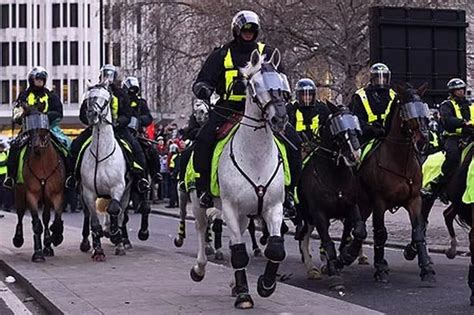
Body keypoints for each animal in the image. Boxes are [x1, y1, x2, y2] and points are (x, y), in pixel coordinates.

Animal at [12, 112, 66, 262]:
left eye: (43, 129)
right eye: (30, 129)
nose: (36, 145)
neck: (42, 164)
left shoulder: (57, 194)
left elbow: (56, 219)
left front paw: (56, 236)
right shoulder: (31, 194)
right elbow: (36, 224)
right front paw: (38, 253)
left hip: (46, 198)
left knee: (46, 217)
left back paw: (48, 245)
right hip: (19, 194)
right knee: (20, 214)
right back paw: (18, 239)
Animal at [79, 84, 131, 262]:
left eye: (107, 100)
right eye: (88, 99)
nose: (92, 114)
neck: (101, 154)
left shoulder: (118, 187)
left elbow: (114, 209)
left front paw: (114, 234)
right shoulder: (88, 193)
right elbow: (94, 222)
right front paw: (98, 251)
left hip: (126, 192)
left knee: (121, 213)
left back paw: (119, 241)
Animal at [190, 48, 288, 308]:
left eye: (282, 82)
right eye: (254, 85)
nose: (280, 119)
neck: (255, 158)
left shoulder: (273, 207)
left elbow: (275, 249)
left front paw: (265, 285)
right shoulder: (230, 208)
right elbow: (239, 254)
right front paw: (245, 295)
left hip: (245, 214)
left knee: (238, 239)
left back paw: (235, 283)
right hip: (198, 202)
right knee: (202, 229)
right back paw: (200, 268)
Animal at [300, 102, 366, 292]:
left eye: (354, 123)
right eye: (337, 126)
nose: (354, 155)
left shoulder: (351, 206)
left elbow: (359, 230)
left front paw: (347, 255)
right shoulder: (319, 214)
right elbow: (328, 242)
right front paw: (335, 275)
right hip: (308, 216)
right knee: (304, 238)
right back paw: (314, 269)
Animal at [356, 84, 436, 284]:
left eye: (423, 108)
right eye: (406, 111)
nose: (423, 140)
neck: (399, 163)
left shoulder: (414, 200)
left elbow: (418, 231)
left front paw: (426, 269)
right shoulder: (379, 202)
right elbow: (380, 233)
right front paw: (380, 269)